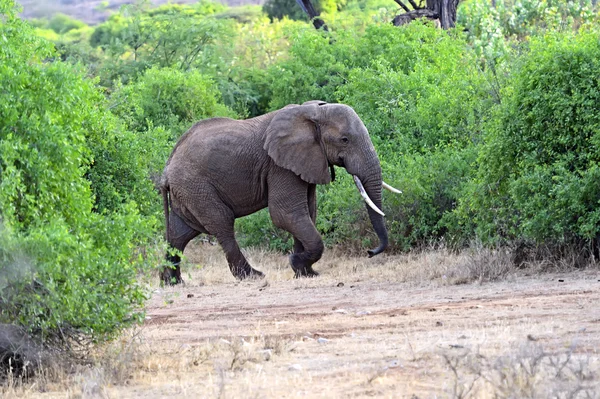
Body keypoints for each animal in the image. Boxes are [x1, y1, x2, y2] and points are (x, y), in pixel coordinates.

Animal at [162, 101, 400, 284]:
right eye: (344, 140)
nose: (370, 252)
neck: (312, 113)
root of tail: (167, 167)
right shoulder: (279, 166)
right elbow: (286, 214)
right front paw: (296, 263)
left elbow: (308, 212)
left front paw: (307, 273)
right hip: (196, 186)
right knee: (222, 224)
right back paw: (253, 276)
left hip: (188, 191)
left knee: (179, 234)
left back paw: (172, 283)